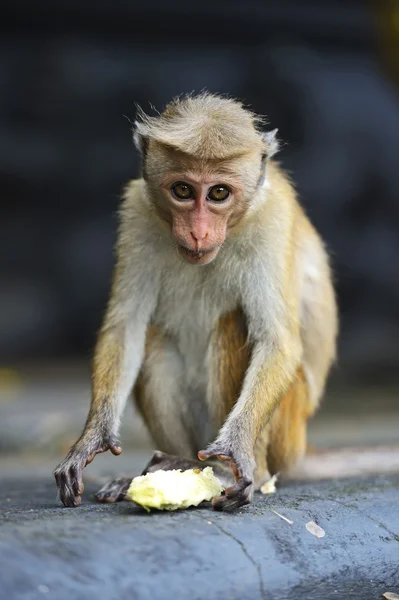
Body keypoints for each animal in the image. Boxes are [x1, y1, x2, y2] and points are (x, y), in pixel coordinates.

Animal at [54, 91, 340, 508]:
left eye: (218, 192)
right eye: (183, 191)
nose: (199, 232)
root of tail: (301, 448)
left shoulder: (273, 217)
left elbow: (278, 341)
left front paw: (235, 449)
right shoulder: (137, 212)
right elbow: (126, 327)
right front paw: (92, 439)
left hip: (287, 428)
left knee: (233, 323)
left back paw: (223, 471)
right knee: (155, 341)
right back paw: (173, 465)